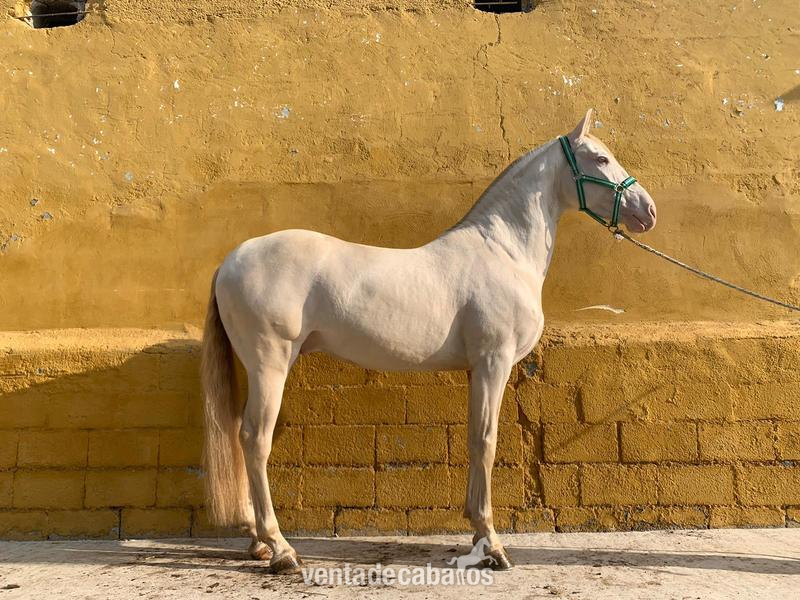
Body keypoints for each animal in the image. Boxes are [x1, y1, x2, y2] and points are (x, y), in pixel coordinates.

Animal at [201, 109, 657, 574]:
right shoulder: (494, 362)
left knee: (240, 435)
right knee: (255, 439)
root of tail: (231, 260)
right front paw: (492, 544)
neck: (504, 253)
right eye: (600, 159)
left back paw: (258, 543)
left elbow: (475, 438)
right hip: (270, 364)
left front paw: (476, 529)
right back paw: (280, 549)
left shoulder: (478, 369)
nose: (648, 210)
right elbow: (486, 441)